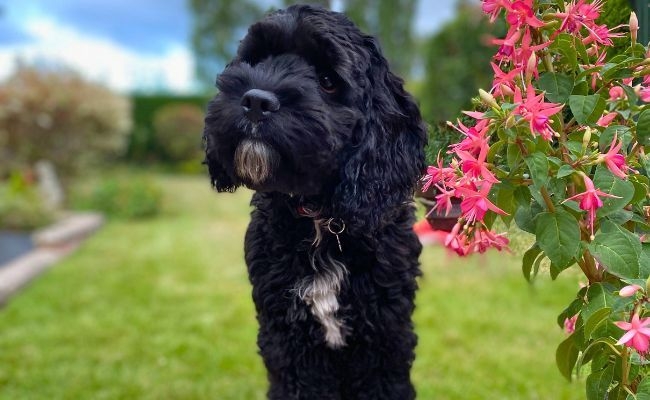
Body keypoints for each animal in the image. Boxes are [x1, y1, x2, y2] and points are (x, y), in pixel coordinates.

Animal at [202, 4, 426, 398]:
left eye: (327, 80)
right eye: (256, 59)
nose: (256, 101)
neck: (323, 219)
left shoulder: (385, 336)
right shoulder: (288, 339)